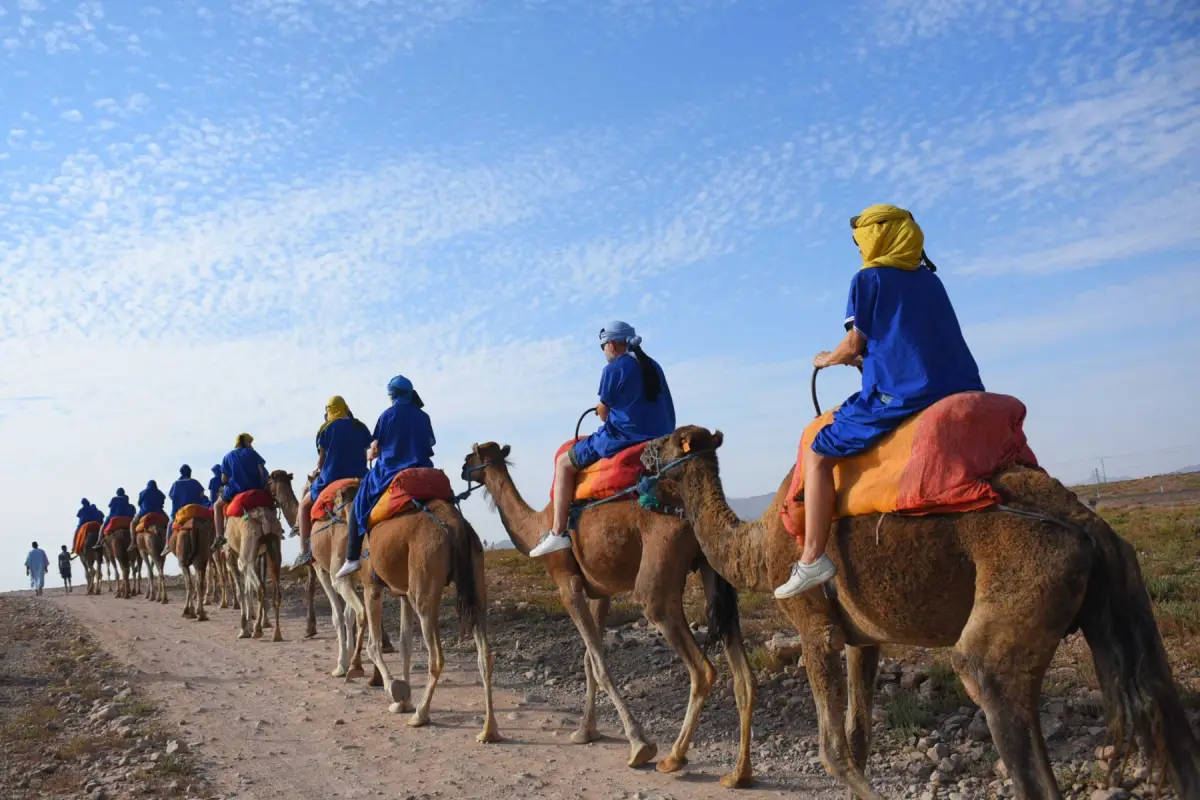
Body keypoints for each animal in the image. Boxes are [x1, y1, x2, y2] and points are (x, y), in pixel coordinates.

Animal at [223, 474, 285, 642]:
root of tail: (262, 517)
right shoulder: (256, 556)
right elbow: (247, 589)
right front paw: (248, 625)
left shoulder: (231, 557)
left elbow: (242, 591)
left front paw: (244, 628)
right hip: (273, 544)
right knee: (275, 591)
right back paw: (277, 633)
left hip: (246, 546)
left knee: (259, 587)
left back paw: (258, 630)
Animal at [463, 441, 753, 786]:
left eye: (470, 456)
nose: (462, 471)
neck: (535, 526)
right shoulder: (599, 592)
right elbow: (590, 660)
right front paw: (585, 732)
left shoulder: (567, 584)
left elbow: (600, 664)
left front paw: (639, 745)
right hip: (715, 566)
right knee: (743, 675)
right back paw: (738, 774)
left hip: (658, 577)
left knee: (701, 667)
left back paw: (673, 758)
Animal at [638, 429, 1200, 800]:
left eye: (662, 444)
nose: (636, 455)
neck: (758, 545)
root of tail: (1089, 526)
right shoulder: (863, 637)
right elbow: (859, 740)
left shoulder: (815, 625)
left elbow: (834, 753)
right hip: (1124, 602)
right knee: (1167, 726)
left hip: (1018, 600)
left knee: (984, 678)